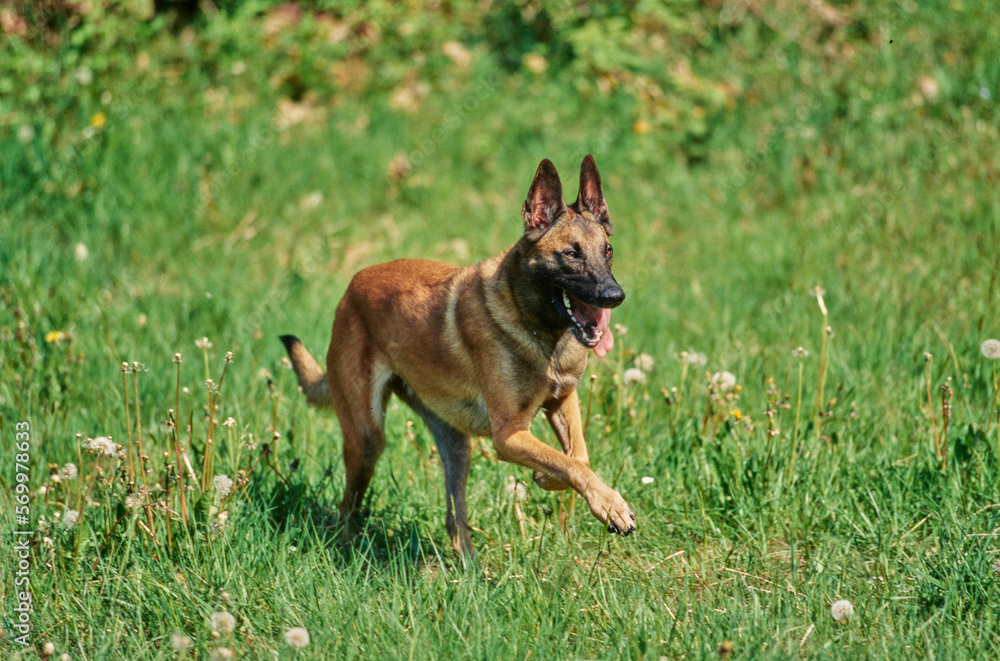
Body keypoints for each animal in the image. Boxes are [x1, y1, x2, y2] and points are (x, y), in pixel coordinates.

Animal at [282, 155, 636, 552]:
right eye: (571, 254)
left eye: (608, 252)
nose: (614, 296)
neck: (535, 326)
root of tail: (351, 288)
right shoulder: (509, 435)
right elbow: (569, 462)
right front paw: (610, 505)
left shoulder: (561, 400)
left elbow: (577, 457)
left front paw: (550, 480)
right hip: (366, 439)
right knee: (346, 508)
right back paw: (347, 548)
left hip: (456, 444)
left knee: (454, 519)